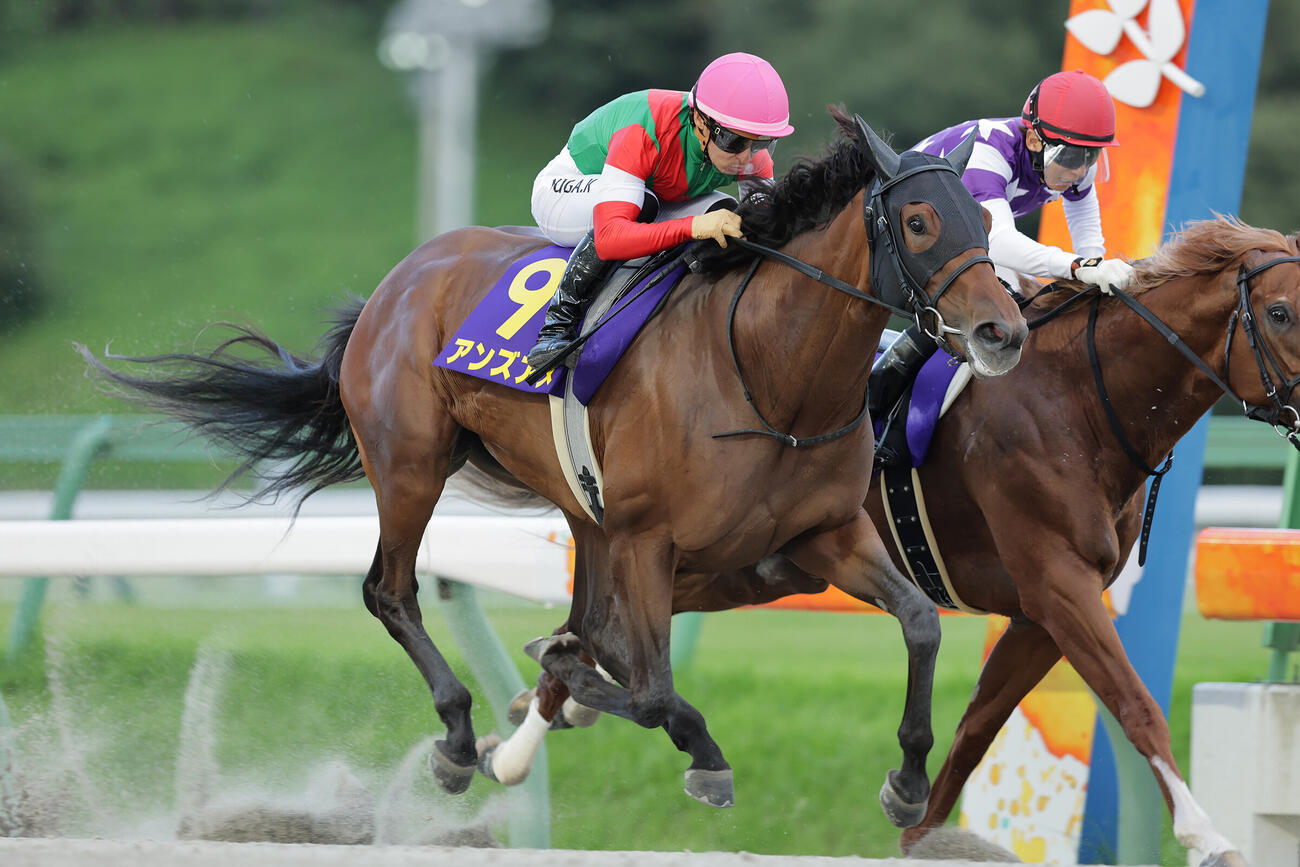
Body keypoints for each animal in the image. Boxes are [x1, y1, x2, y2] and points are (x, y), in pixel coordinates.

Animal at [79, 108, 1027, 821]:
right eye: (918, 221)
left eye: (988, 221)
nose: (1002, 333)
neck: (768, 377)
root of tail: (400, 277)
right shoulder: (649, 540)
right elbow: (648, 689)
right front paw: (689, 745)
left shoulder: (819, 533)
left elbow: (920, 621)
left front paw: (908, 781)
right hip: (413, 465)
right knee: (390, 590)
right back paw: (460, 737)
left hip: (576, 508)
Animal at [613, 216, 1294, 866]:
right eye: (1281, 312)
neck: (1081, 401)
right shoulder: (1058, 585)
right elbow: (1137, 705)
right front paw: (1209, 838)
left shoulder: (1039, 617)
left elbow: (976, 729)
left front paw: (916, 824)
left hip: (746, 570)